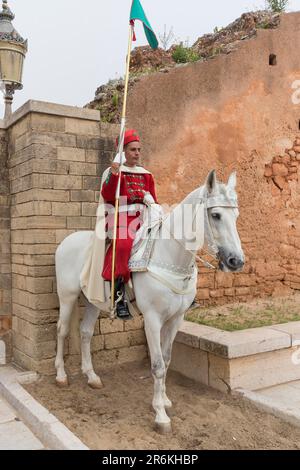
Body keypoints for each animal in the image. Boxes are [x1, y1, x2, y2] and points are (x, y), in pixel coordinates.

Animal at [55, 170, 245, 434]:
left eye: (235, 215)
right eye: (216, 215)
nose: (236, 261)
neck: (170, 256)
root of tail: (66, 241)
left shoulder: (176, 319)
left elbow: (166, 359)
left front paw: (164, 400)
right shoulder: (153, 320)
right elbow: (157, 365)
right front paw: (160, 415)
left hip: (92, 300)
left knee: (85, 332)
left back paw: (91, 376)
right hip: (67, 296)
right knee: (62, 330)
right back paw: (61, 375)